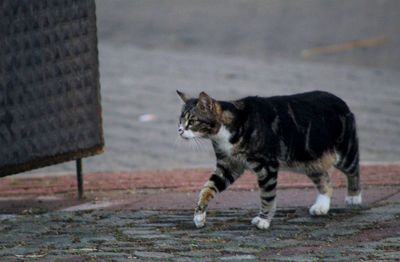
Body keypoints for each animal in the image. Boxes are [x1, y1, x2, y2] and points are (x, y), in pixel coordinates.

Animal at [177, 90, 360, 229]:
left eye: (192, 121)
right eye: (181, 119)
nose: (179, 130)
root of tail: (342, 102)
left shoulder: (266, 166)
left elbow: (267, 195)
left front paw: (263, 220)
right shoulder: (228, 165)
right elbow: (208, 188)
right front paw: (199, 215)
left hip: (344, 150)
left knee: (353, 169)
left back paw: (354, 197)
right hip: (309, 159)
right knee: (324, 179)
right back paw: (322, 206)